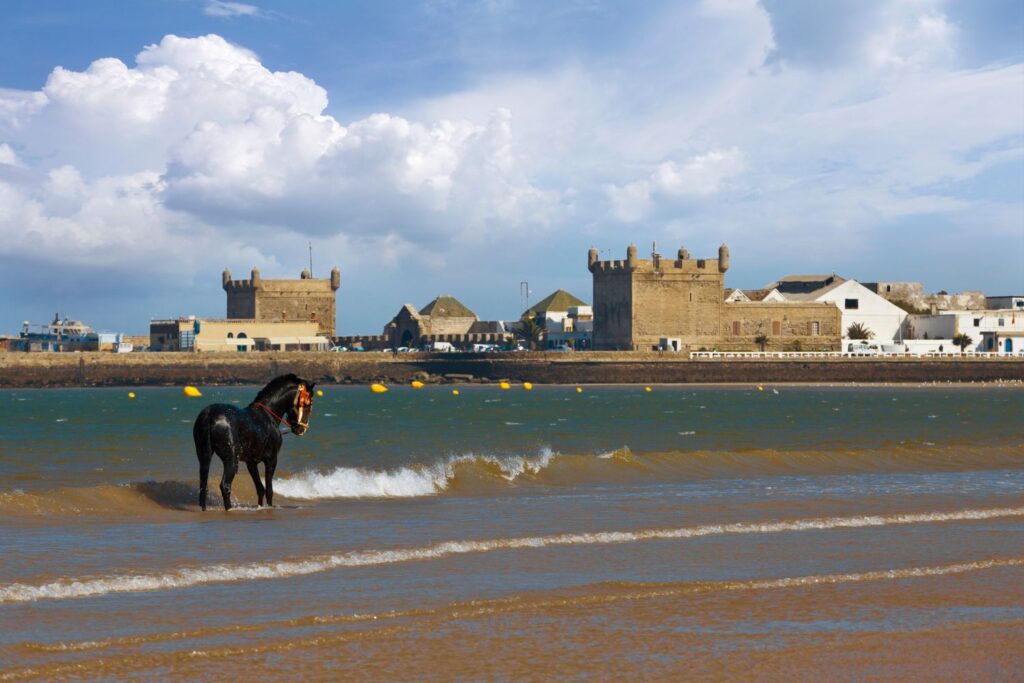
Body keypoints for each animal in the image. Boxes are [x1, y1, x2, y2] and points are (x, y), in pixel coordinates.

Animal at [192, 374, 315, 511]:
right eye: (307, 403)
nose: (301, 429)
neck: (268, 415)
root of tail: (210, 416)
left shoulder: (251, 463)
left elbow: (260, 489)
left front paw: (260, 507)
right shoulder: (271, 460)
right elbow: (269, 490)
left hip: (204, 457)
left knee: (203, 486)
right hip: (231, 460)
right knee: (225, 486)